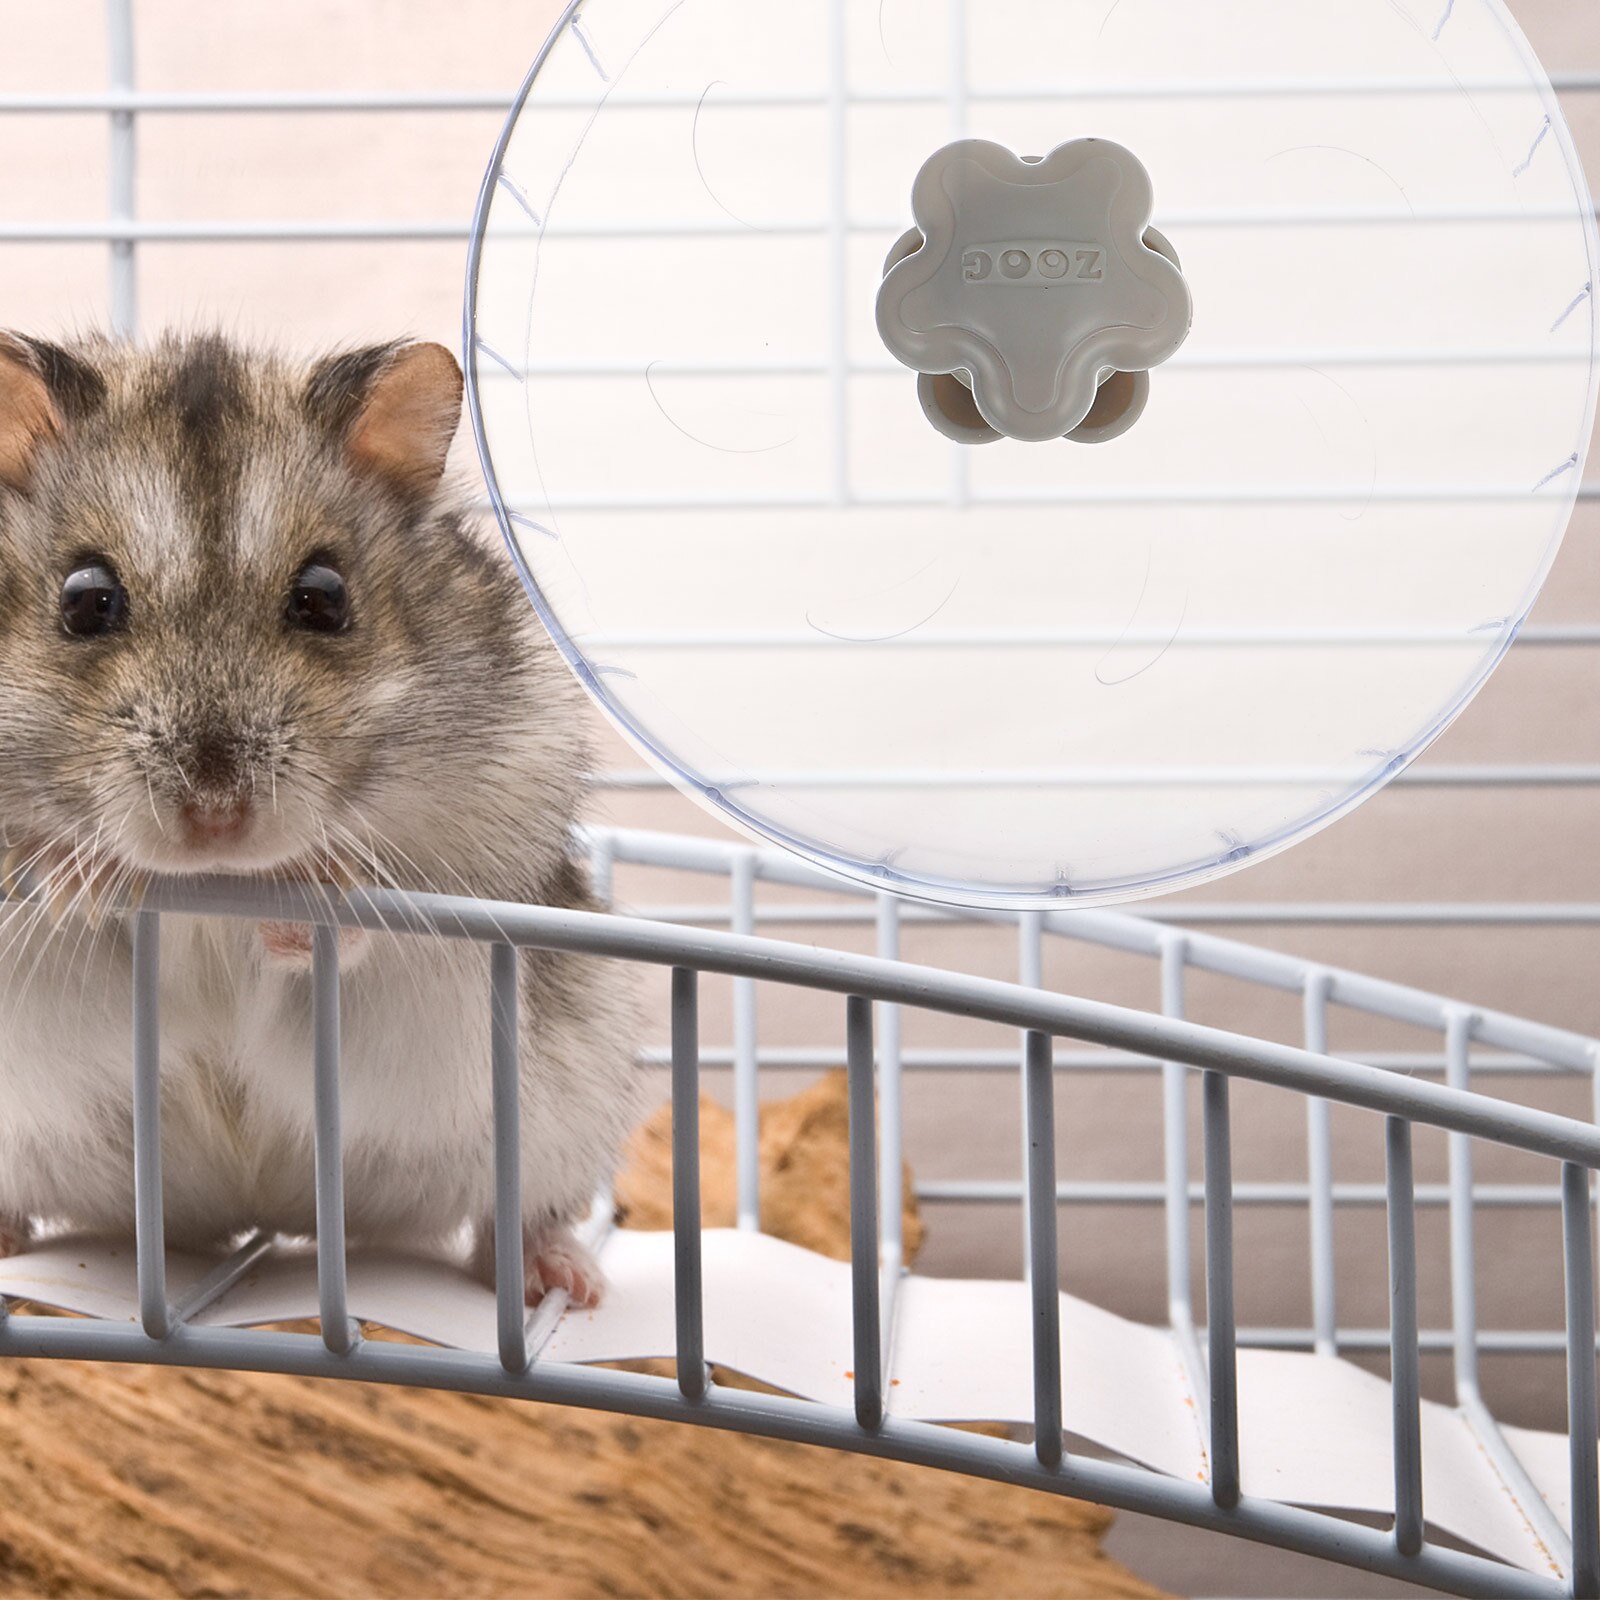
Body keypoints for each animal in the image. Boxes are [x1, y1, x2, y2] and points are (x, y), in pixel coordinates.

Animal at [0, 330, 642, 1307]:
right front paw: (80, 871)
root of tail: (264, 1219)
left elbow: (379, 912)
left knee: (514, 1219)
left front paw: (309, 889)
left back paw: (560, 1279)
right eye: (84, 599)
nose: (215, 818)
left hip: (567, 1111)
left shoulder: (488, 832)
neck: (211, 888)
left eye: (324, 597)